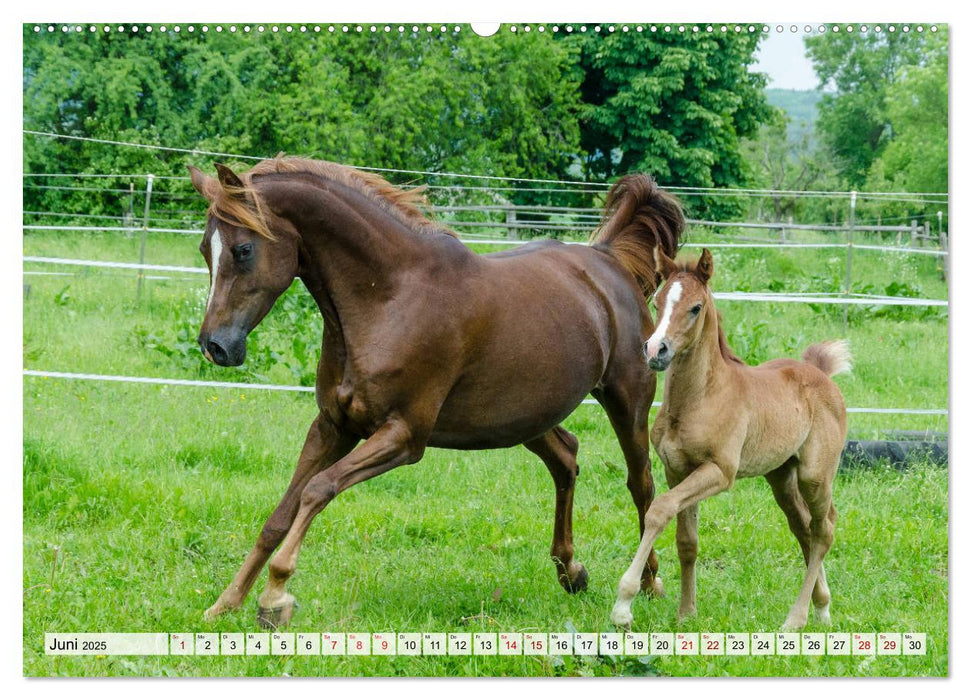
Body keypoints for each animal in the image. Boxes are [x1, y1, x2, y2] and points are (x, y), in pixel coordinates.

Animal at [186, 159, 680, 628]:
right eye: (205, 248)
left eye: (243, 249)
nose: (216, 346)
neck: (389, 297)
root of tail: (608, 261)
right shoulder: (332, 427)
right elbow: (279, 516)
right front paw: (225, 604)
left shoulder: (403, 437)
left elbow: (316, 491)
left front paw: (275, 597)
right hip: (524, 417)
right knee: (566, 458)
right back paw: (571, 571)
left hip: (626, 400)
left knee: (641, 483)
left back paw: (648, 583)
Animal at [616, 249, 852, 632]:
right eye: (657, 301)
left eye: (695, 307)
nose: (655, 351)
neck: (700, 398)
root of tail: (820, 374)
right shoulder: (677, 471)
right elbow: (687, 541)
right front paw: (686, 613)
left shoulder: (720, 472)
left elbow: (660, 509)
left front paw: (623, 605)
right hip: (781, 476)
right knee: (803, 527)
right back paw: (822, 607)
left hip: (815, 476)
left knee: (824, 530)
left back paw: (797, 618)